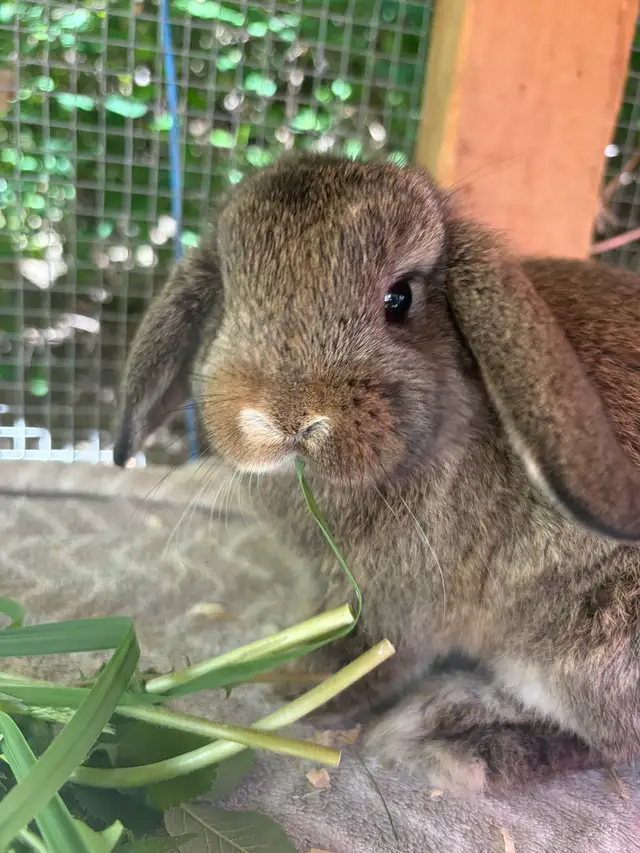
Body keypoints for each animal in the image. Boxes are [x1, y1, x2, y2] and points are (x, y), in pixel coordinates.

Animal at [113, 152, 640, 795]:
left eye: (400, 299)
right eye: (230, 301)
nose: (286, 418)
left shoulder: (402, 607)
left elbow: (366, 660)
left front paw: (296, 692)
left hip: (587, 649)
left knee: (606, 739)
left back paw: (455, 737)